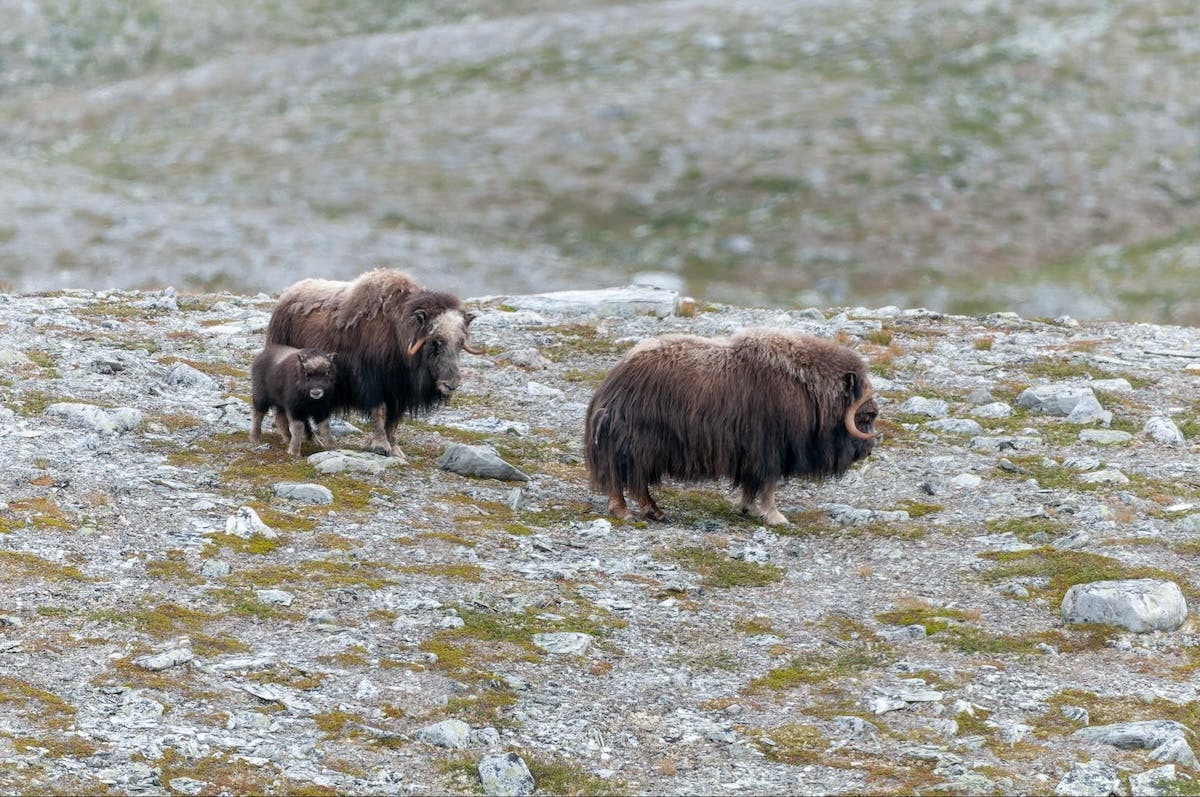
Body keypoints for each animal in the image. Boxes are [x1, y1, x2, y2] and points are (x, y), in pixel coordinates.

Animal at [265, 269, 479, 461]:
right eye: (435, 342)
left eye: (460, 343)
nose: (451, 384)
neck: (398, 333)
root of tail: (286, 296)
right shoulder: (371, 382)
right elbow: (379, 412)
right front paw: (381, 446)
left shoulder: (399, 392)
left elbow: (394, 420)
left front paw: (395, 449)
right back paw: (298, 438)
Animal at [583, 329, 879, 525]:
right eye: (867, 415)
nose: (868, 451)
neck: (810, 391)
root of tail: (613, 385)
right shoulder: (770, 449)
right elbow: (768, 486)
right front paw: (776, 517)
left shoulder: (752, 454)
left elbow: (751, 484)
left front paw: (748, 508)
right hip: (640, 445)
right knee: (627, 478)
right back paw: (630, 512)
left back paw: (651, 511)